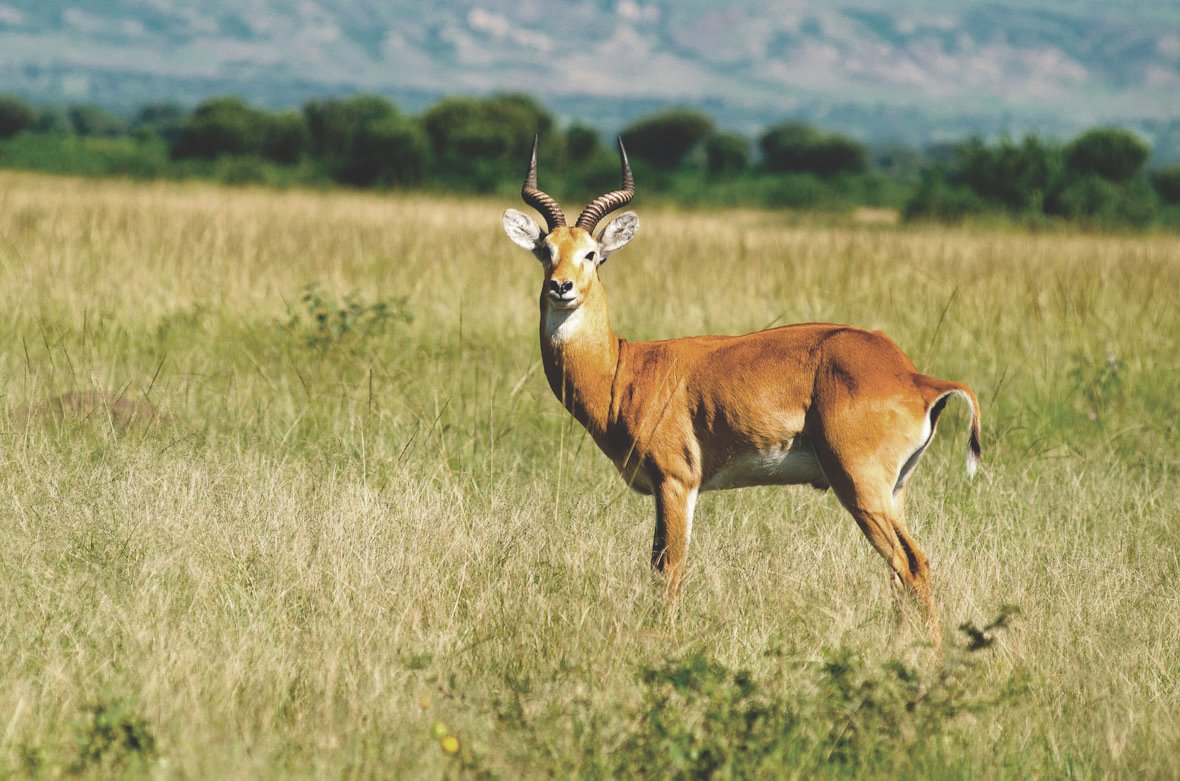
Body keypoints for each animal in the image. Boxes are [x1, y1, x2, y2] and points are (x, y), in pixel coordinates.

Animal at [502, 137, 981, 641]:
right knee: (899, 571)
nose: (561, 287)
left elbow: (669, 567)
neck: (624, 369)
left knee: (912, 563)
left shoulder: (676, 481)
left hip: (861, 487)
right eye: (545, 250)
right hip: (894, 491)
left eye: (592, 253)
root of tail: (911, 375)